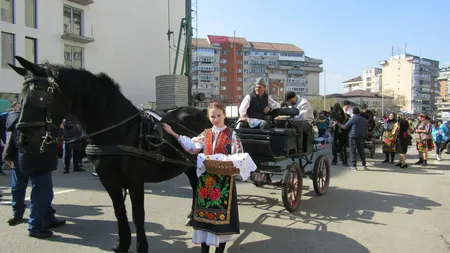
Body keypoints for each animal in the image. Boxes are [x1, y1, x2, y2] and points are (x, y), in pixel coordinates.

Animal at [8, 56, 209, 252]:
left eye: (40, 97)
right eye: (21, 95)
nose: (23, 140)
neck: (119, 130)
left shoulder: (135, 182)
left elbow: (138, 215)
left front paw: (141, 247)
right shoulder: (109, 182)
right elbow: (119, 212)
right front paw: (122, 244)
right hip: (188, 166)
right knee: (194, 186)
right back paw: (191, 216)